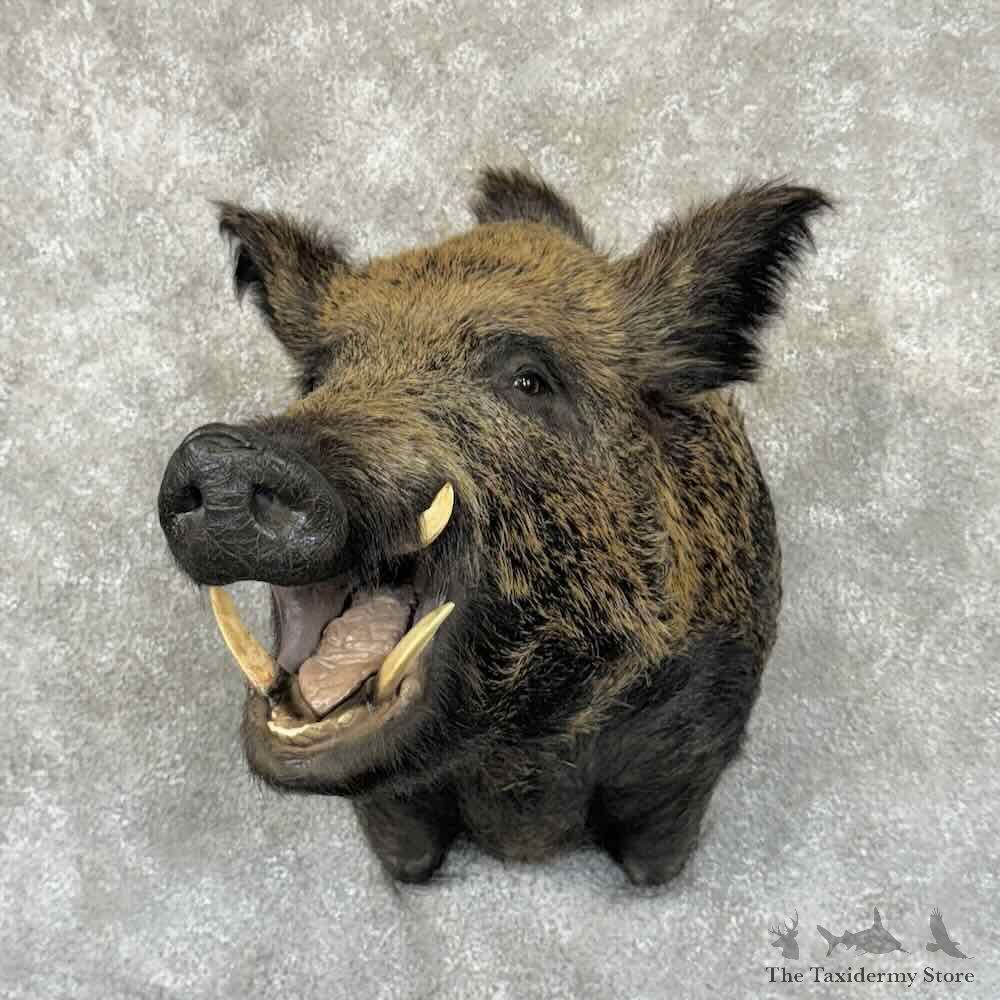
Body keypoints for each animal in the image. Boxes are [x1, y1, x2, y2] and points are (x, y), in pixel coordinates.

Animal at [158, 168, 830, 885]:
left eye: (528, 380)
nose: (225, 457)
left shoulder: (695, 741)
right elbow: (409, 855)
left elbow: (654, 858)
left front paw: (652, 882)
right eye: (318, 378)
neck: (517, 766)